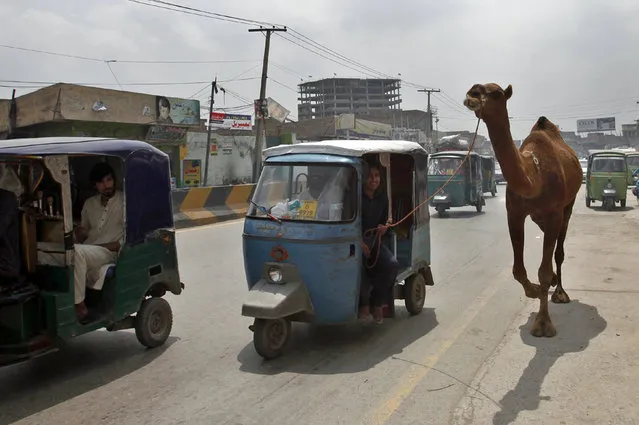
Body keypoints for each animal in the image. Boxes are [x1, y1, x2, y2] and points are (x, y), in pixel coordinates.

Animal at [462, 83, 584, 336]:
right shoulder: (514, 213)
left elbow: (544, 270)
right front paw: (534, 291)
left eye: (496, 93)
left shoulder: (554, 212)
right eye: (474, 89)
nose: (472, 94)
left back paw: (560, 292)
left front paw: (543, 323)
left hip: (568, 204)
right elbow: (518, 270)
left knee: (559, 248)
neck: (533, 176)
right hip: (539, 216)